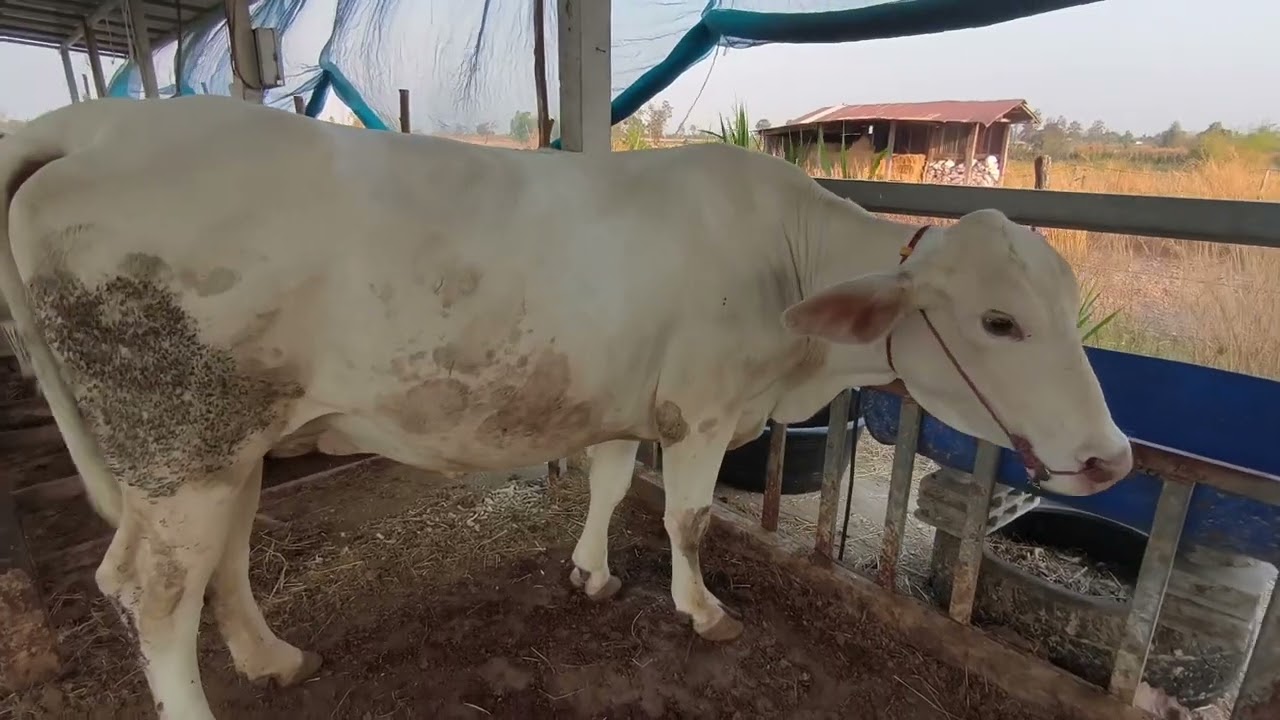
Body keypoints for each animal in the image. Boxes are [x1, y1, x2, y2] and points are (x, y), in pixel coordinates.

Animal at [0, 95, 1132, 719]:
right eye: (997, 321)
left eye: (1065, 303)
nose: (1111, 456)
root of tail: (90, 122)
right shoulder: (701, 408)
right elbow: (684, 516)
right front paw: (700, 610)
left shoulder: (631, 400)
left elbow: (608, 480)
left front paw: (589, 572)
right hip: (176, 443)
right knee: (151, 589)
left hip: (225, 439)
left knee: (223, 559)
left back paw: (270, 657)